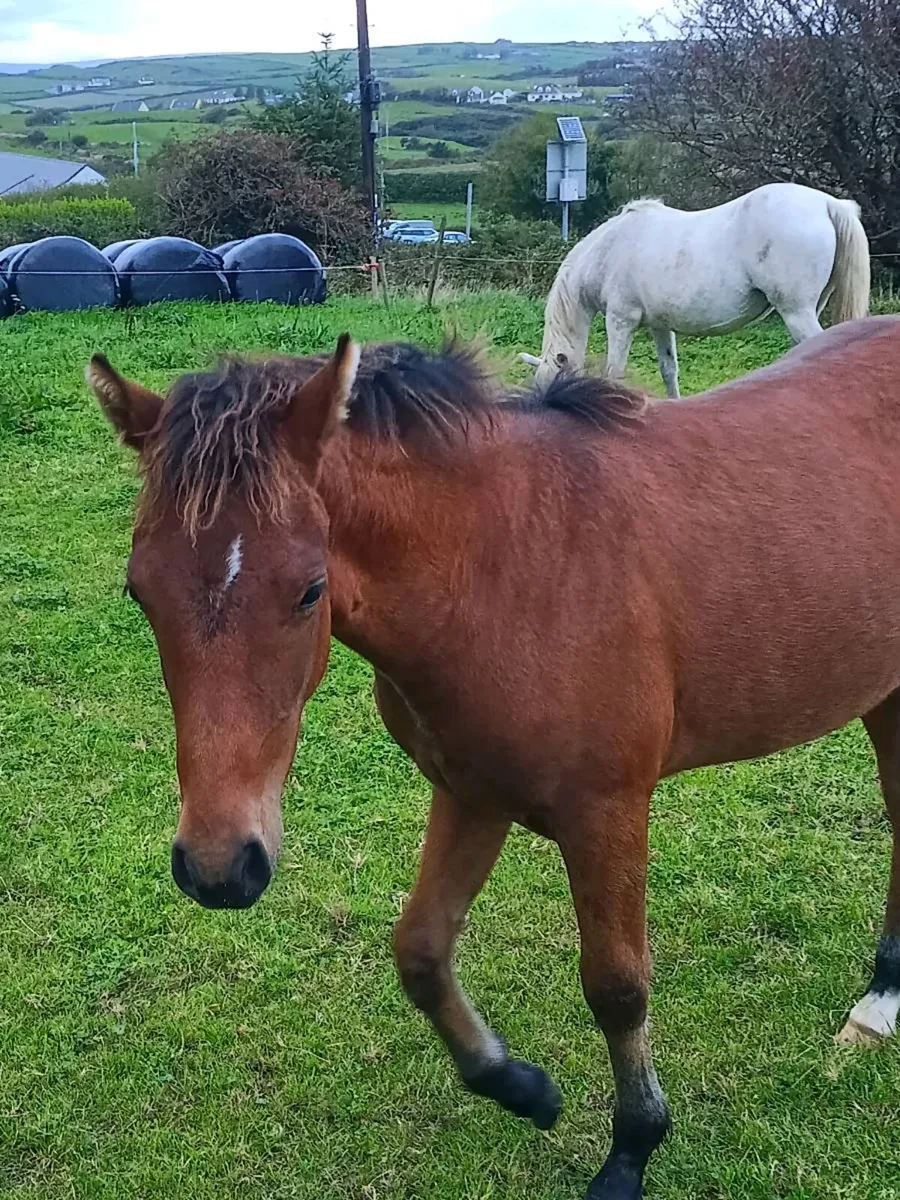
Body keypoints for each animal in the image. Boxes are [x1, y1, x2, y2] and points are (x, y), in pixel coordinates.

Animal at [89, 317, 900, 1200]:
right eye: (139, 591)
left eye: (308, 589)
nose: (218, 868)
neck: (503, 569)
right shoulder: (472, 792)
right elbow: (420, 951)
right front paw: (521, 1086)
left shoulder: (607, 812)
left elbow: (618, 986)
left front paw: (632, 1148)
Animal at [520, 182, 870, 398]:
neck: (607, 250)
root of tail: (828, 203)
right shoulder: (660, 326)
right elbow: (669, 369)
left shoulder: (621, 321)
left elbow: (614, 371)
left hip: (797, 312)